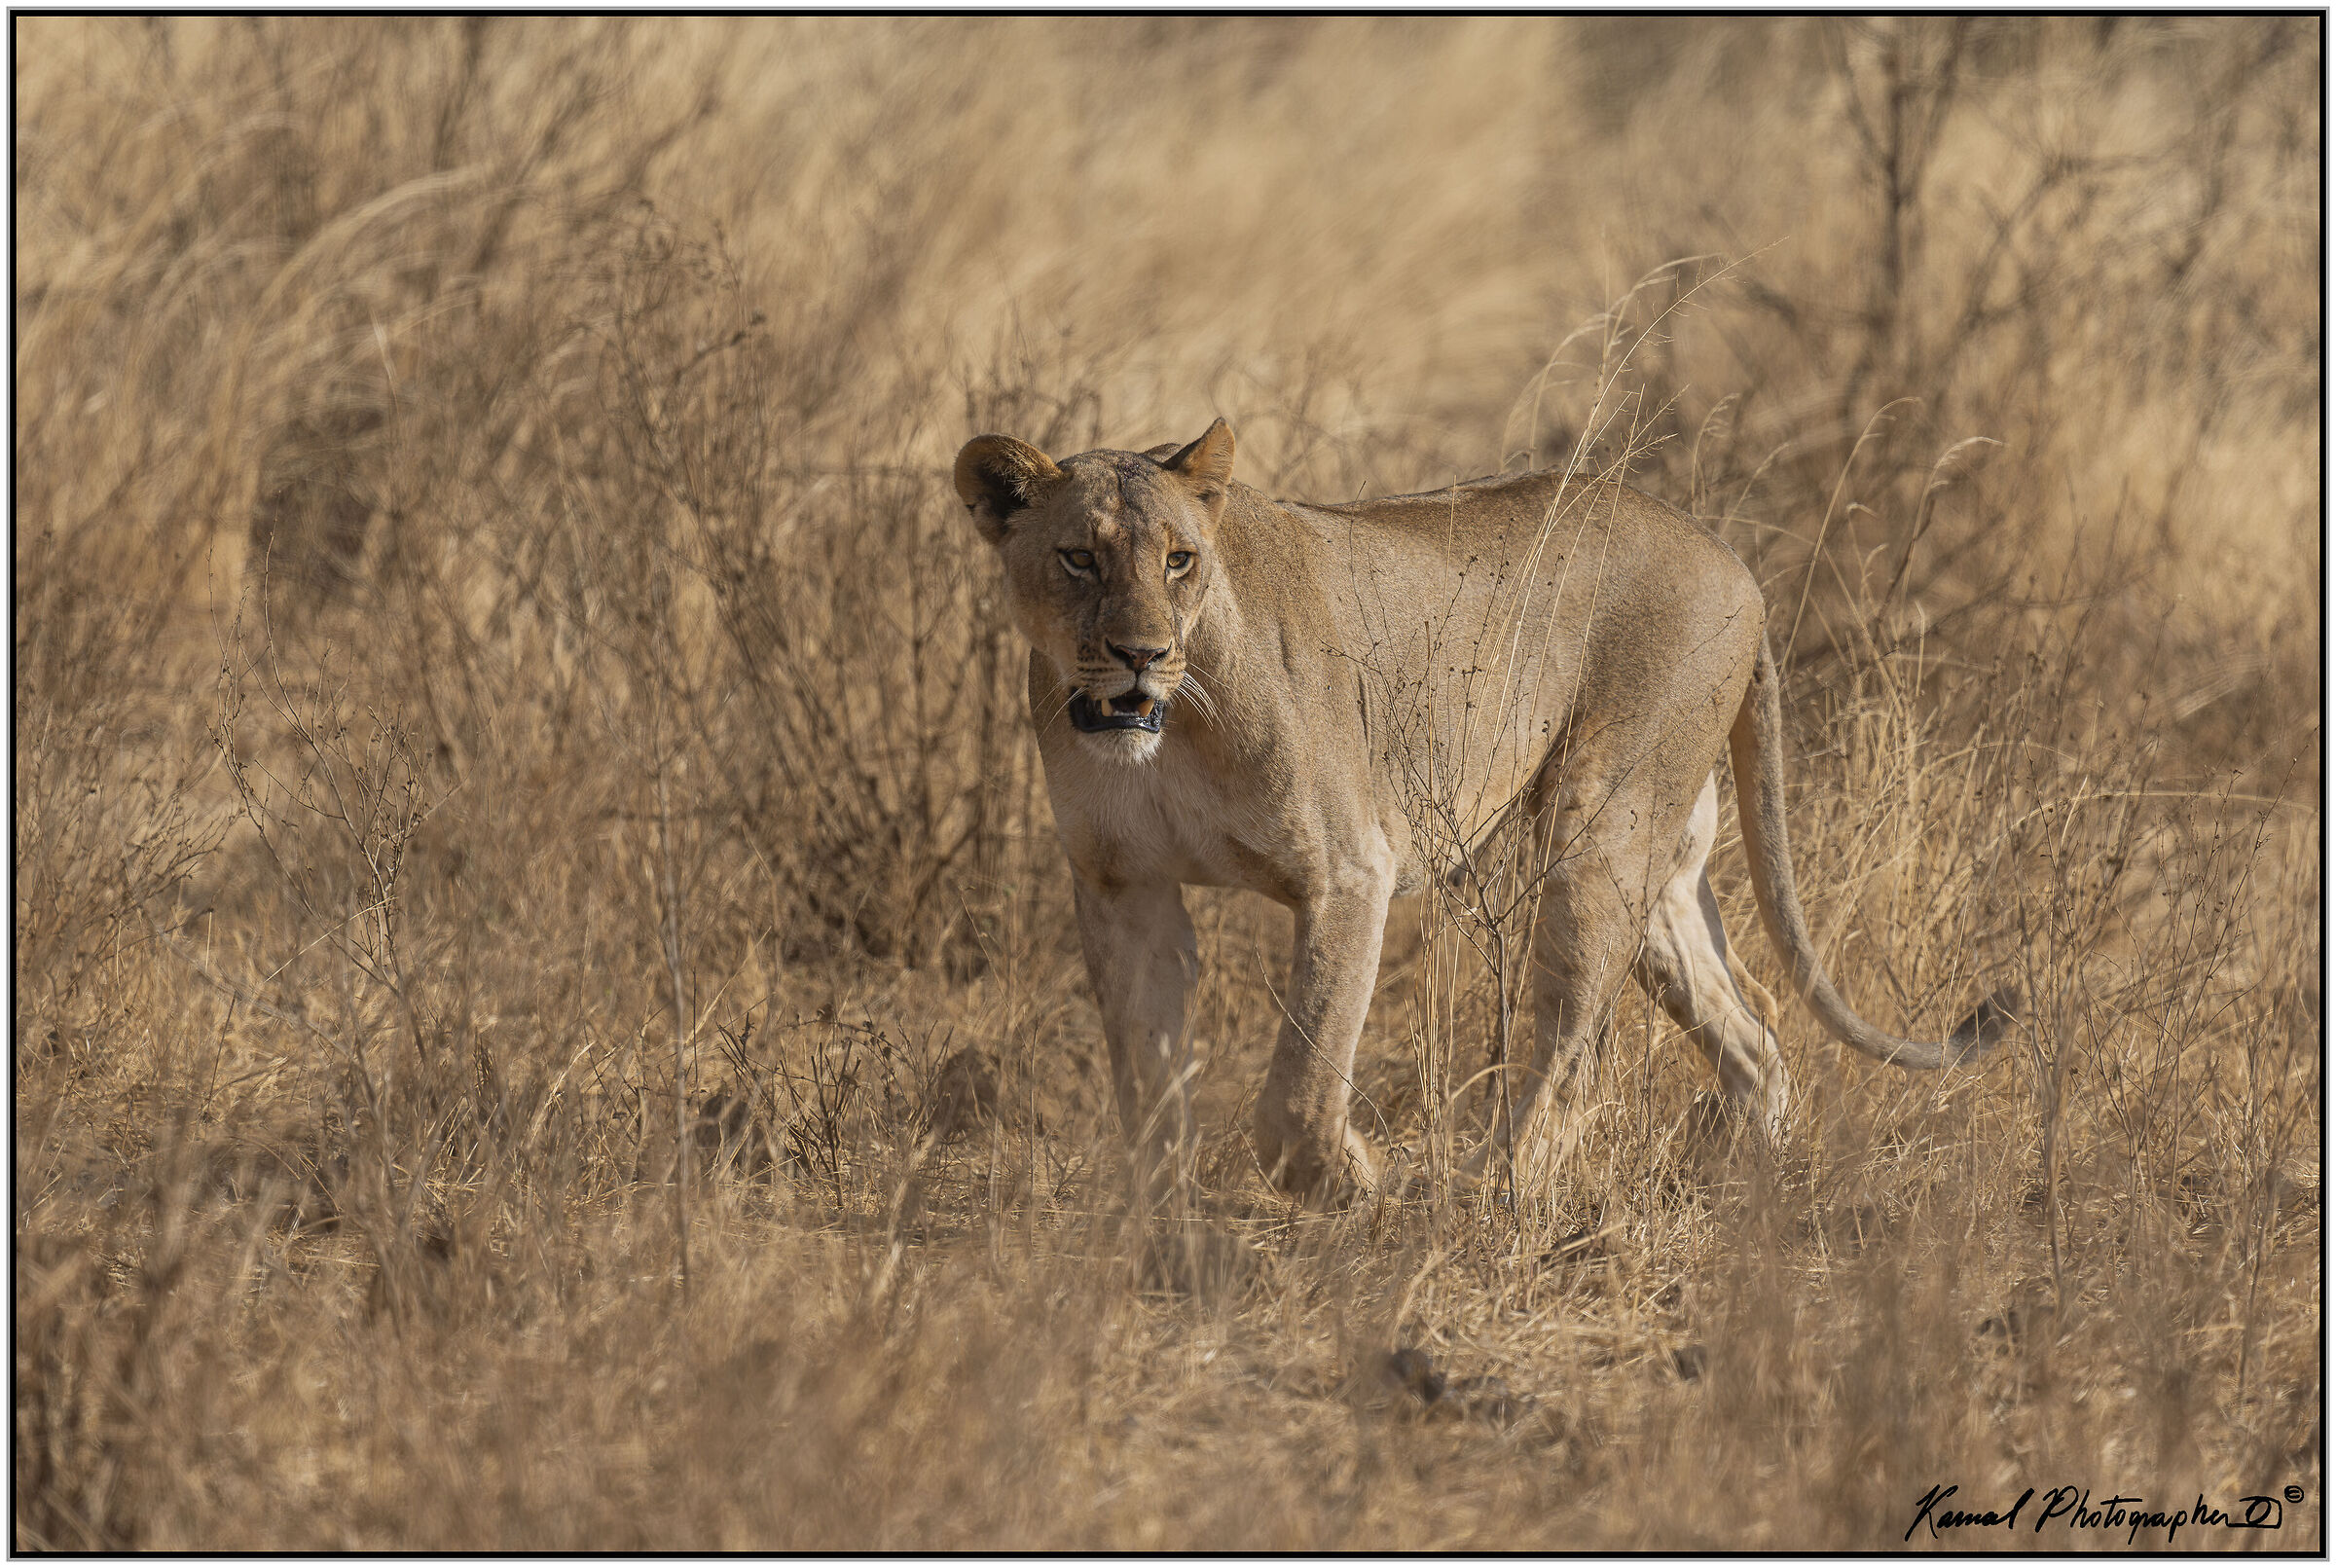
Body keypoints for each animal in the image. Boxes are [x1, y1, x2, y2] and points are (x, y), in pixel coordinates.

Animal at [954, 418, 2014, 1198]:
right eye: (1079, 559)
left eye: (1179, 560)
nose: (1141, 654)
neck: (1162, 733)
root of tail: (1738, 566)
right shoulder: (1122, 885)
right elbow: (1147, 1081)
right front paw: (1166, 1228)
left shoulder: (1350, 872)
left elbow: (1301, 1085)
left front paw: (1353, 1177)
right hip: (1659, 873)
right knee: (1752, 1025)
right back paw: (1753, 1189)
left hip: (1597, 831)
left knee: (1576, 1054)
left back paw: (1482, 1196)